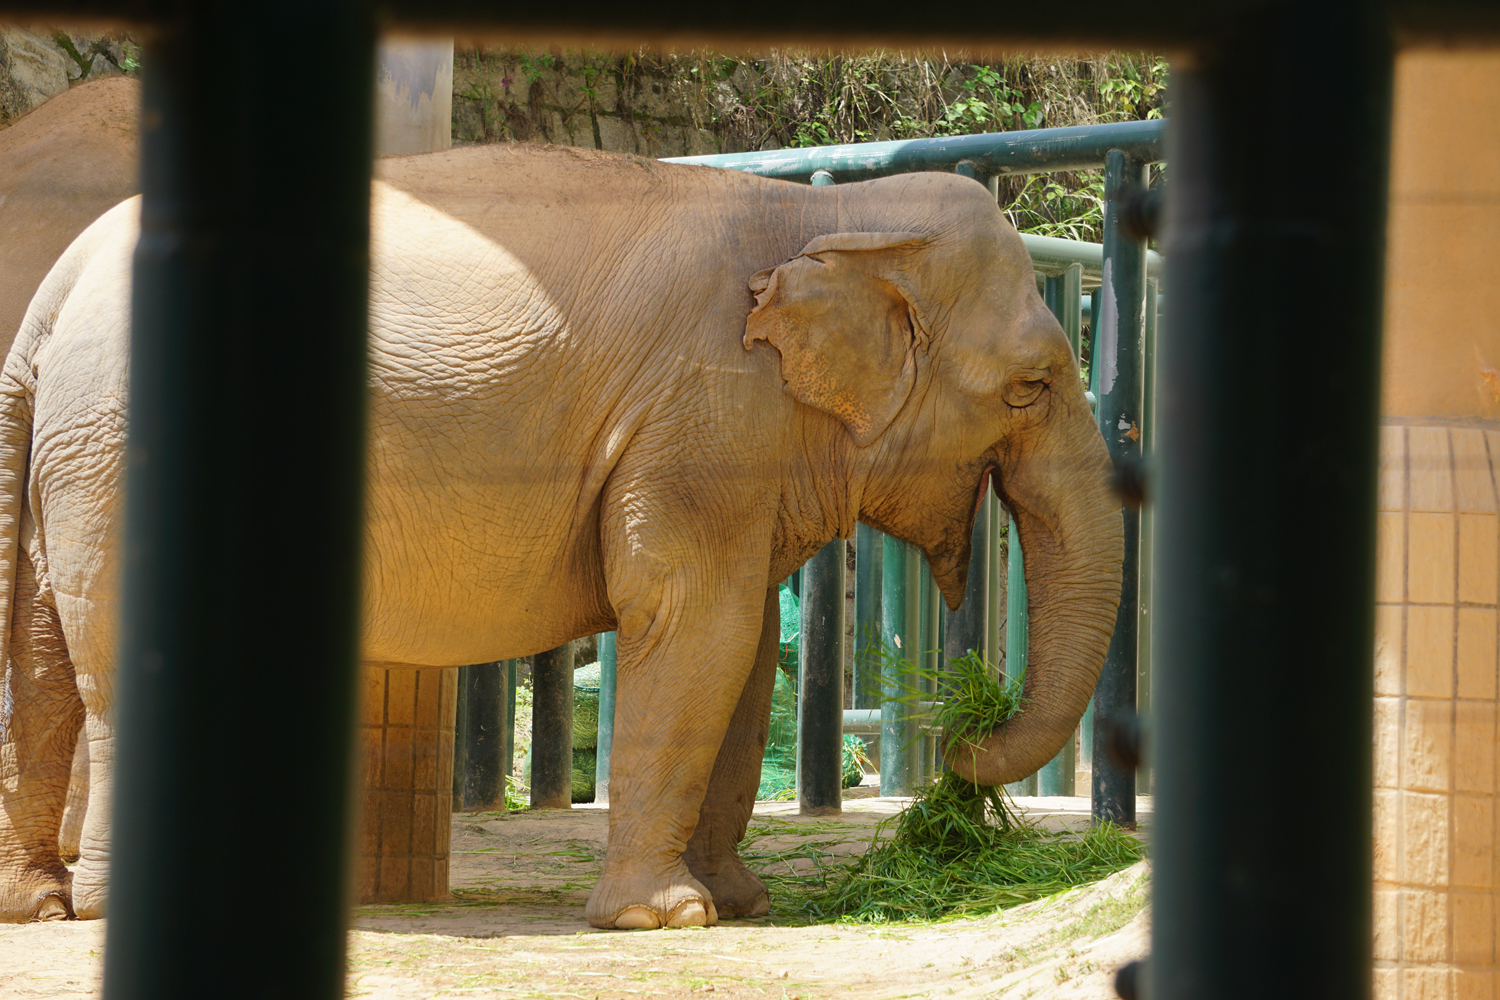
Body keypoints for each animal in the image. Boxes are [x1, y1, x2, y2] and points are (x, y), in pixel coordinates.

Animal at [0, 141, 1123, 927]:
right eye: (1031, 386)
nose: (963, 735)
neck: (829, 214)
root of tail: (54, 290)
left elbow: (747, 647)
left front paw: (738, 901)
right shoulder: (702, 412)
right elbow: (695, 621)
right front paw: (666, 919)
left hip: (71, 456)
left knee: (47, 659)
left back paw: (40, 905)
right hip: (117, 448)